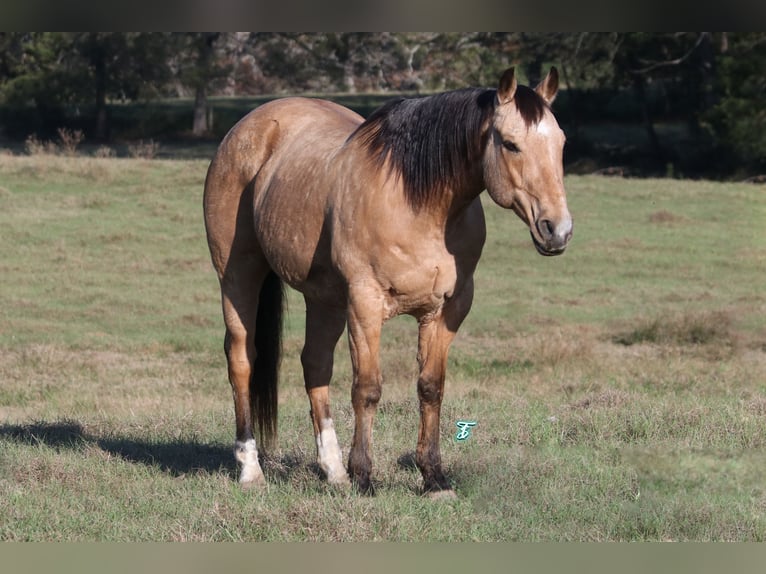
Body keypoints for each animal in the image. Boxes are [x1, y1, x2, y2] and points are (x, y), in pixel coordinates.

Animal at [204, 67, 576, 500]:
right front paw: (364, 477)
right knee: (242, 360)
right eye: (512, 144)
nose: (557, 230)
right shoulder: (365, 305)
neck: (420, 204)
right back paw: (251, 470)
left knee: (315, 364)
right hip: (238, 275)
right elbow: (367, 389)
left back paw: (333, 471)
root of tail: (251, 125)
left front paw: (434, 479)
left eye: (561, 143)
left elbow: (431, 387)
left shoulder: (447, 309)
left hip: (325, 298)